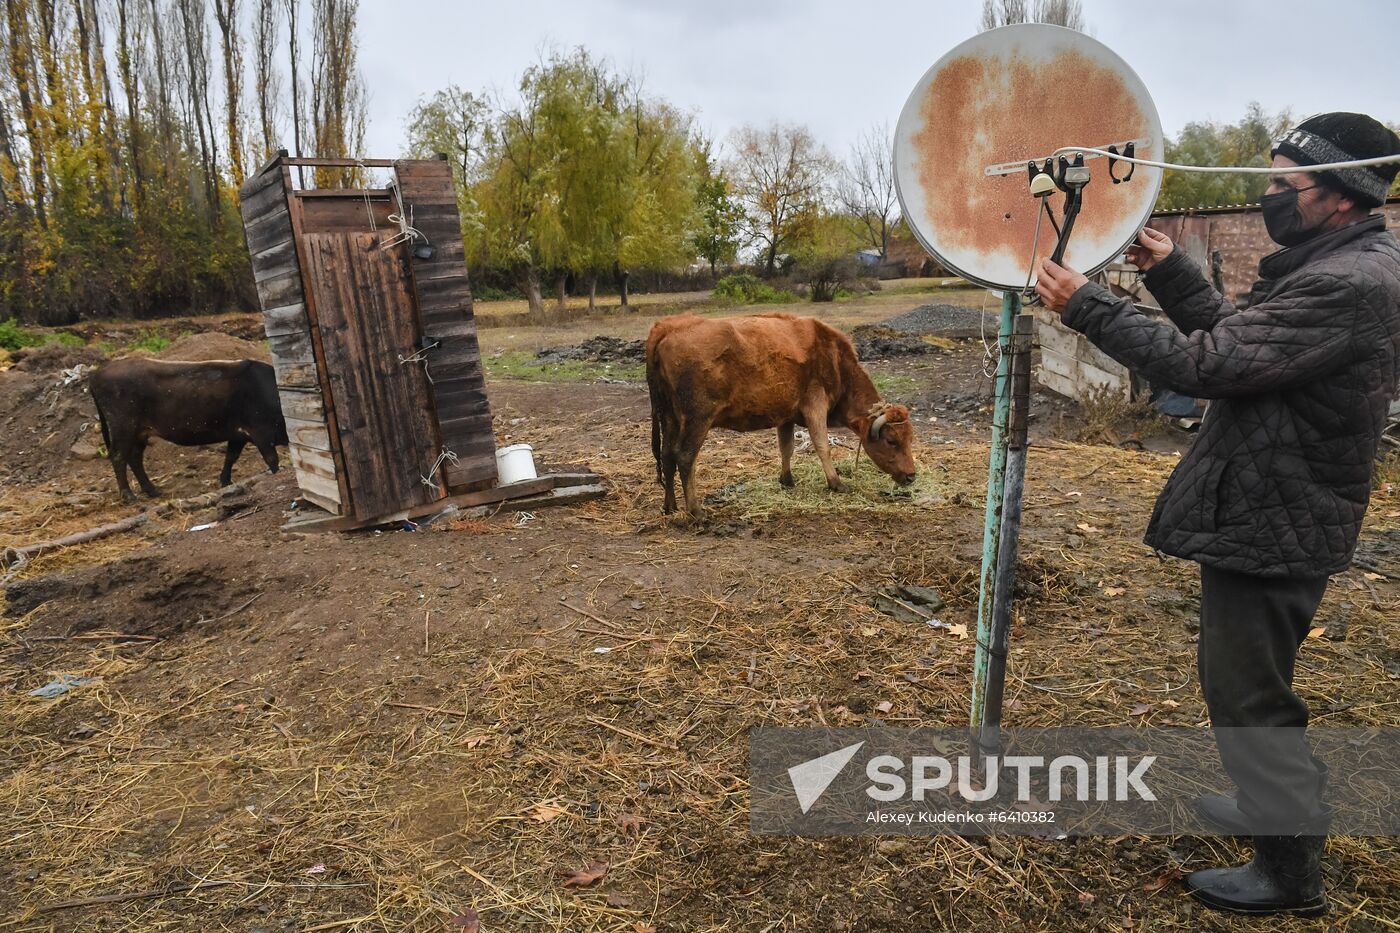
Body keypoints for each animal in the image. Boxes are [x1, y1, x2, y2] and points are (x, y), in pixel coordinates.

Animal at [87, 357, 289, 501]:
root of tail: (98, 373)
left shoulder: (238, 435)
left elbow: (231, 457)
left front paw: (225, 481)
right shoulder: (261, 433)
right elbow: (272, 460)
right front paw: (278, 477)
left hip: (140, 431)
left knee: (135, 457)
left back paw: (152, 490)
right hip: (123, 427)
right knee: (118, 457)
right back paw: (128, 495)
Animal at [641, 312, 912, 515]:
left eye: (909, 438)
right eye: (891, 440)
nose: (911, 476)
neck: (833, 357)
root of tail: (667, 327)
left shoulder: (786, 416)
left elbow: (786, 448)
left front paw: (787, 480)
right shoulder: (815, 404)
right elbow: (822, 446)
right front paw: (836, 483)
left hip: (670, 418)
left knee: (667, 456)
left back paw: (670, 507)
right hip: (697, 420)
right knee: (685, 457)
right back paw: (695, 510)